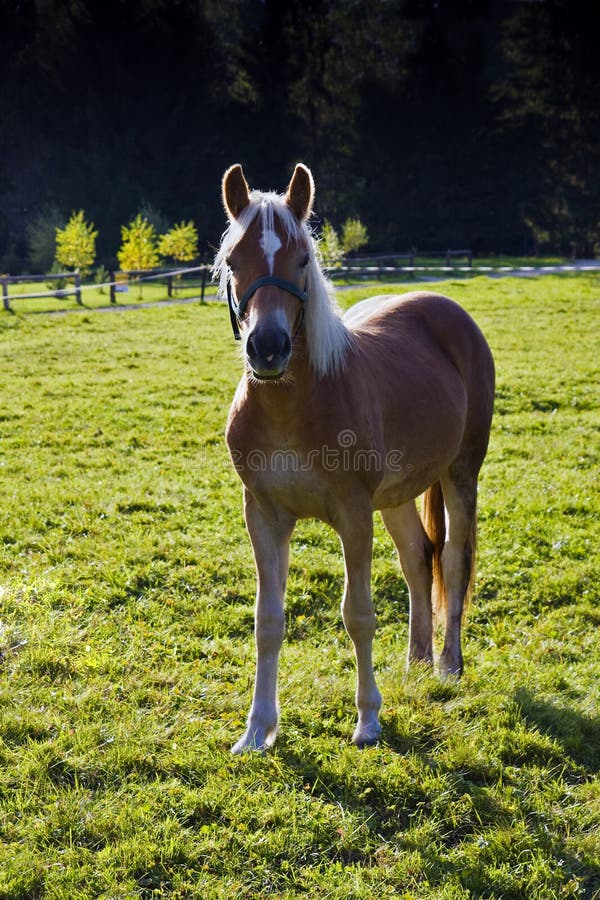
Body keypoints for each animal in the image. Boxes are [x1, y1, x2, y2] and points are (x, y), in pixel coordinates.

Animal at [213, 162, 494, 752]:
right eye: (233, 261)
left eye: (302, 259)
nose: (267, 348)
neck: (293, 407)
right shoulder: (263, 516)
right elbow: (268, 620)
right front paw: (257, 730)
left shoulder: (353, 515)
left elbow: (358, 614)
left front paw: (367, 720)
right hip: (397, 496)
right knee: (418, 557)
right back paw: (415, 662)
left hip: (461, 473)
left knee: (453, 558)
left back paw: (447, 665)